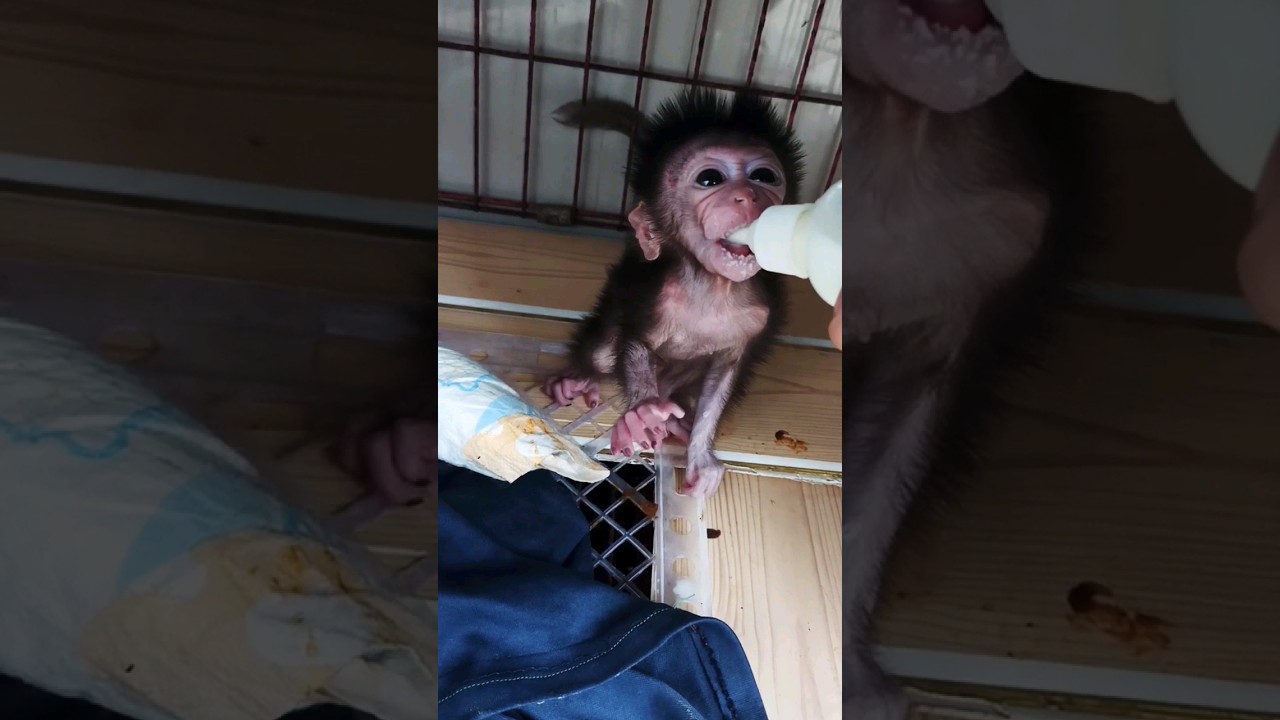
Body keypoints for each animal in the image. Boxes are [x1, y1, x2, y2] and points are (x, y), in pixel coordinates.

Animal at [543, 88, 806, 497]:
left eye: (765, 177)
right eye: (710, 179)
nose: (749, 196)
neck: (713, 290)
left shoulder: (756, 317)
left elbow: (724, 374)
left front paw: (699, 454)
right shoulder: (654, 296)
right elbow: (636, 343)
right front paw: (643, 412)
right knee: (604, 351)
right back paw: (580, 380)